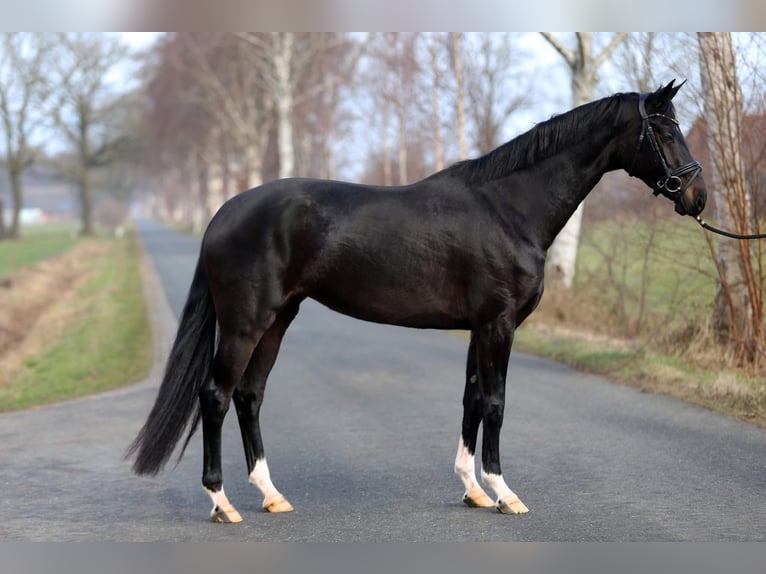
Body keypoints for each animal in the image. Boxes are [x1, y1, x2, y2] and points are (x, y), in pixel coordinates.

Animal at [128, 80, 706, 523]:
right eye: (664, 130)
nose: (696, 197)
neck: (508, 208)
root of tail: (224, 212)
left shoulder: (479, 326)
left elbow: (472, 400)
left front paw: (473, 490)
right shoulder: (499, 325)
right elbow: (495, 404)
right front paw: (505, 494)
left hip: (278, 318)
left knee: (249, 396)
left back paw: (271, 496)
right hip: (246, 323)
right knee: (215, 396)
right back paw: (222, 504)